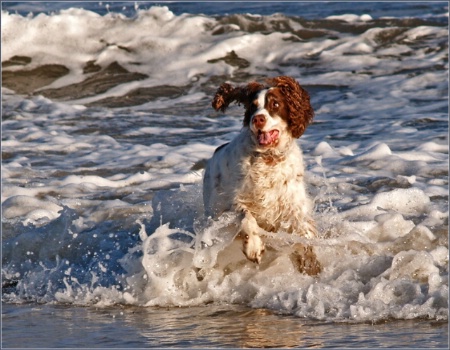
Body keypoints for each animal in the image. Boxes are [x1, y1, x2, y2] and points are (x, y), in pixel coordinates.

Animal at [202, 76, 322, 276]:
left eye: (275, 104)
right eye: (253, 106)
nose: (257, 119)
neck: (269, 158)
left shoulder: (294, 207)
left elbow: (304, 233)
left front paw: (310, 265)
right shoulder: (236, 202)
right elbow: (247, 218)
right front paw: (254, 248)